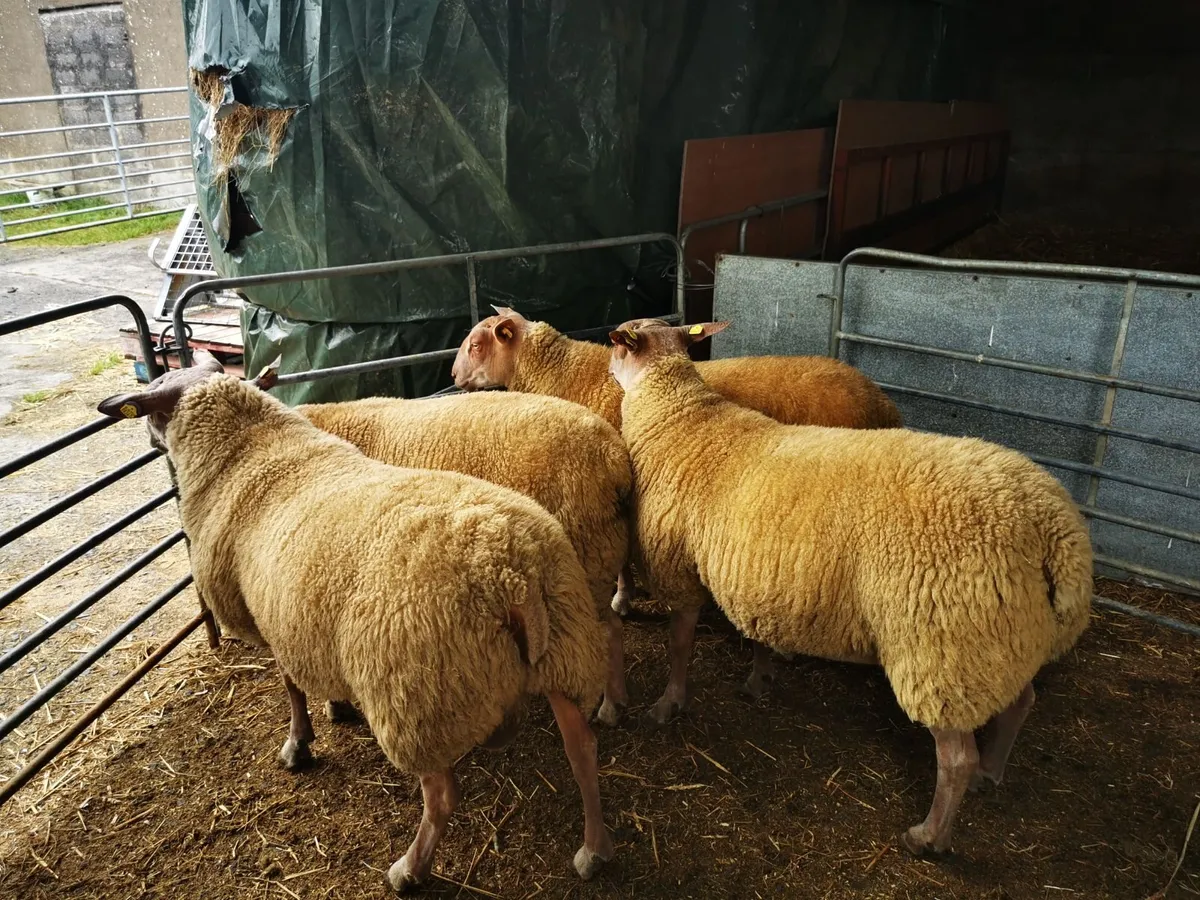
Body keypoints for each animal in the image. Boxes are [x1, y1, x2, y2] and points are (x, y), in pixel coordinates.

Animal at [294, 390, 634, 726]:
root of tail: (612, 456)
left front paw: (334, 704)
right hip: (596, 559)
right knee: (614, 626)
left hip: (585, 560)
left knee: (606, 632)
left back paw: (608, 708)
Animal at [604, 318, 1093, 856]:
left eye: (617, 343)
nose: (607, 366)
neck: (678, 416)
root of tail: (1056, 530)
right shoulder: (758, 570)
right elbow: (757, 632)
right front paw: (759, 679)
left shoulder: (678, 564)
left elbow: (678, 645)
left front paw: (668, 704)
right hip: (1005, 635)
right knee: (1021, 704)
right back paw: (992, 771)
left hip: (942, 647)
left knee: (955, 759)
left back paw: (929, 835)